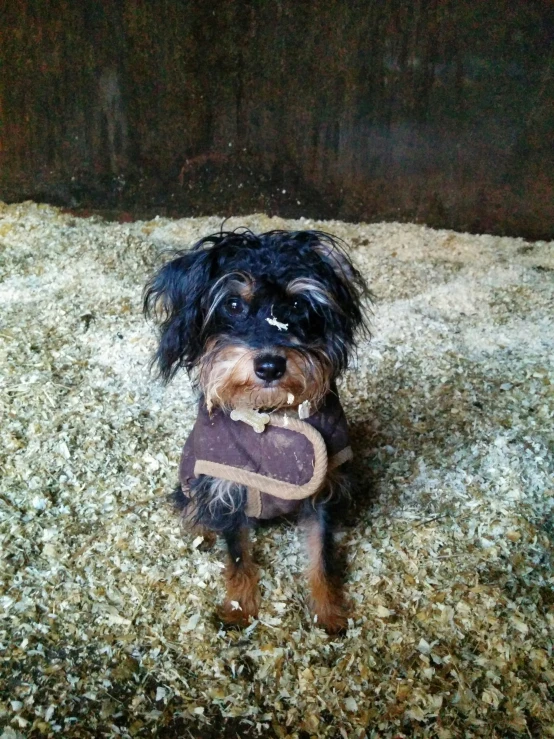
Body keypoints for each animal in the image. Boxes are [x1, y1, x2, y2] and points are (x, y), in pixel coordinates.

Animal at [142, 228, 366, 632]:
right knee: (191, 504)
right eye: (233, 304)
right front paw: (239, 608)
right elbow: (237, 555)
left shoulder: (322, 492)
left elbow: (322, 557)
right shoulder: (228, 487)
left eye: (297, 305)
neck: (271, 414)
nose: (270, 365)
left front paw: (329, 613)